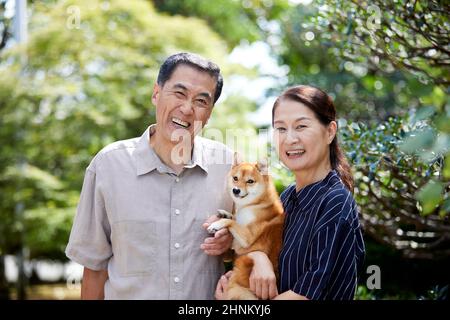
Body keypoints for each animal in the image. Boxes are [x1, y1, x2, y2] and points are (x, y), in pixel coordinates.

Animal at [207, 154, 284, 298]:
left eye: (250, 181)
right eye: (235, 178)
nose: (236, 190)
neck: (256, 204)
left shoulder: (247, 238)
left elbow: (232, 223)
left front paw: (217, 224)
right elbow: (234, 218)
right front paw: (225, 214)